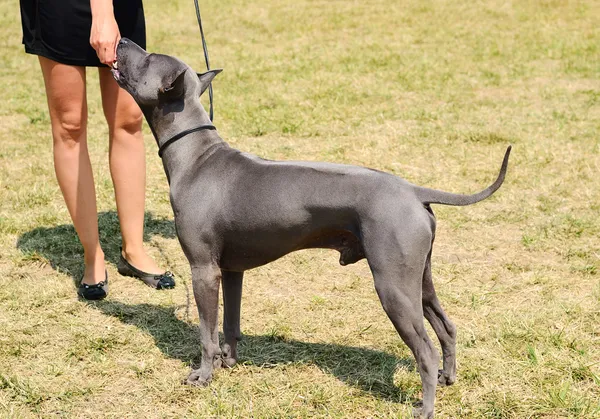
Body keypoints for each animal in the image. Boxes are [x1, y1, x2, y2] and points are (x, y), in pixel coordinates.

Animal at [110, 37, 508, 418]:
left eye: (149, 58)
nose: (122, 40)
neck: (196, 156)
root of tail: (413, 190)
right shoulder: (232, 270)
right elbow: (231, 324)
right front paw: (229, 363)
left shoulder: (204, 270)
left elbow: (207, 333)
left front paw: (205, 374)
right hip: (418, 281)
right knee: (446, 327)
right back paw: (447, 377)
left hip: (393, 287)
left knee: (425, 349)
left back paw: (424, 407)